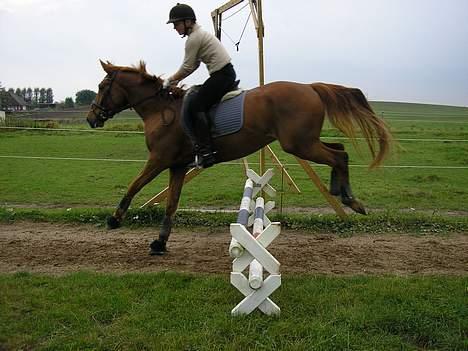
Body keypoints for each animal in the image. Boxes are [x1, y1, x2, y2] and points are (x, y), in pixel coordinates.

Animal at [87, 61, 392, 256]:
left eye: (102, 86)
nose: (91, 118)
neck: (161, 110)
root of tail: (310, 87)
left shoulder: (159, 160)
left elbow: (134, 185)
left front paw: (114, 219)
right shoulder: (177, 166)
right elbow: (171, 203)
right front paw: (160, 242)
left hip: (300, 145)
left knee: (338, 156)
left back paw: (351, 200)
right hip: (305, 142)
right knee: (340, 150)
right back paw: (340, 191)